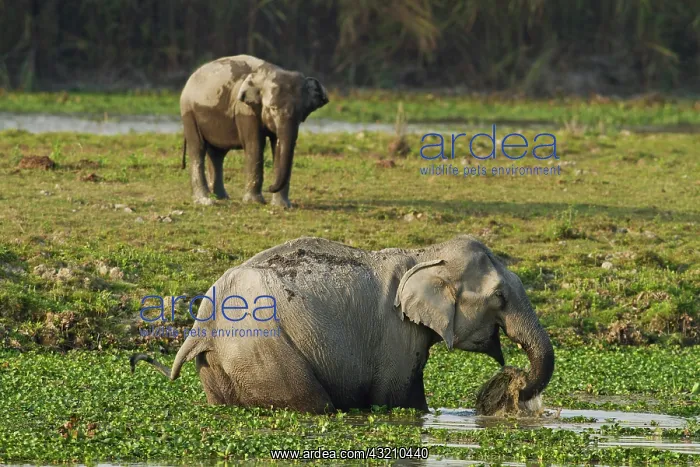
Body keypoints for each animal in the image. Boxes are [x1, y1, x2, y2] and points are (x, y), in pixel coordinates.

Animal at [131, 235, 554, 414]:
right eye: (499, 297)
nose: (515, 384)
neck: (424, 254)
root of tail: (200, 327)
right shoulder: (395, 334)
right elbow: (401, 400)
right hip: (263, 347)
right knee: (314, 404)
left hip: (222, 364)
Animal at [179, 55, 329, 207]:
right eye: (273, 108)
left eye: (301, 112)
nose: (270, 187)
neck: (269, 72)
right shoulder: (245, 109)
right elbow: (255, 145)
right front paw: (254, 202)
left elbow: (278, 146)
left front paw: (282, 206)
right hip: (189, 113)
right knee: (198, 148)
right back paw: (205, 201)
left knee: (217, 154)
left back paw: (221, 197)